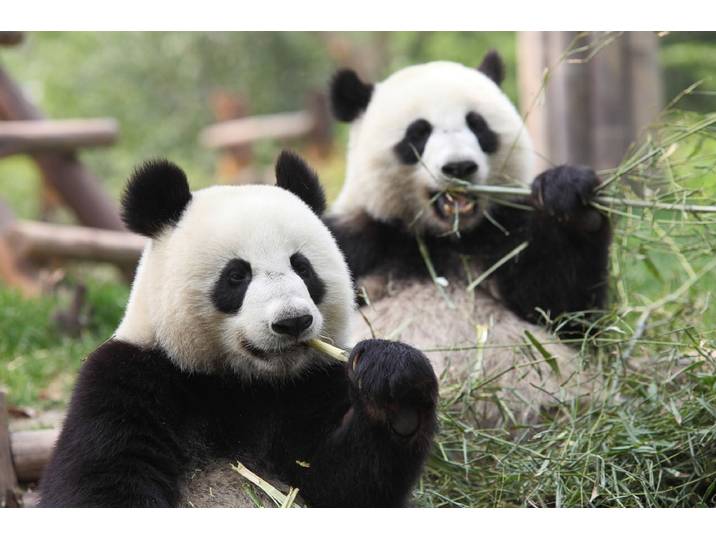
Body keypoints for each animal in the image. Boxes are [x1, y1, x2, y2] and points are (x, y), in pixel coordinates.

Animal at [39, 151, 438, 508]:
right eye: (236, 275)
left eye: (302, 267)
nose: (293, 321)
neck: (244, 383)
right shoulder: (131, 379)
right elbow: (100, 482)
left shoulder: (310, 384)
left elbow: (342, 483)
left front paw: (393, 381)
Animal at [324, 51, 612, 427]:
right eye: (418, 133)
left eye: (478, 125)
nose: (459, 167)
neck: (442, 238)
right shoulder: (356, 242)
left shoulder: (504, 236)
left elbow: (564, 311)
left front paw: (570, 200)